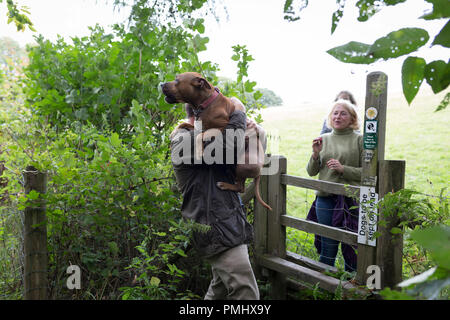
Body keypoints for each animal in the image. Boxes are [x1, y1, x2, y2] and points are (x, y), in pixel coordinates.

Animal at [162, 73, 270, 212]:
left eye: (177, 80)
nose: (161, 84)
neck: (205, 104)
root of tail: (260, 170)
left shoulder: (221, 128)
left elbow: (200, 135)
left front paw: (199, 152)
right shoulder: (198, 126)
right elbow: (185, 125)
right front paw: (174, 131)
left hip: (243, 164)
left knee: (241, 187)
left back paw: (224, 185)